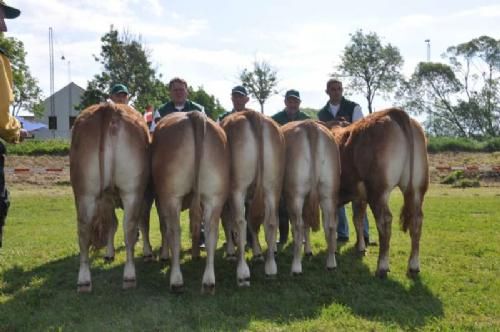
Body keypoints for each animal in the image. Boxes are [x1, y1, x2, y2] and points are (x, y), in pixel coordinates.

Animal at [70, 102, 150, 292]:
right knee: (129, 227)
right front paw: (147, 252)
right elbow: (142, 223)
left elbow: (112, 224)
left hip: (84, 192)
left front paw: (109, 252)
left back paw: (84, 280)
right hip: (132, 190)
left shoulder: (106, 199)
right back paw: (129, 276)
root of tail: (109, 107)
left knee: (83, 229)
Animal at [151, 111, 229, 294]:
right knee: (211, 232)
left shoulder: (160, 200)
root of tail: (193, 114)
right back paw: (208, 281)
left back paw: (176, 280)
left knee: (174, 232)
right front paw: (195, 253)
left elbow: (163, 226)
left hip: (172, 196)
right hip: (214, 197)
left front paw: (164, 255)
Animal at [220, 110, 286, 286]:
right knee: (270, 222)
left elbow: (227, 222)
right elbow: (253, 223)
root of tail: (252, 114)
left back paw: (242, 273)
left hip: (238, 189)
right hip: (272, 187)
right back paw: (271, 268)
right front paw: (257, 253)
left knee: (240, 222)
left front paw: (231, 252)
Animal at [282, 120, 340, 274]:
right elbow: (307, 225)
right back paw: (331, 263)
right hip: (328, 193)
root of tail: (309, 125)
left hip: (295, 195)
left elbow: (301, 226)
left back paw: (296, 267)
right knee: (330, 226)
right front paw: (308, 250)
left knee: (298, 226)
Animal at [328, 107, 430, 278]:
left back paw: (382, 267)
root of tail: (394, 112)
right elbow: (358, 219)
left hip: (378, 189)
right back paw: (414, 266)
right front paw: (360, 246)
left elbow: (333, 221)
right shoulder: (359, 196)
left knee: (385, 221)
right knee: (417, 220)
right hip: (417, 186)